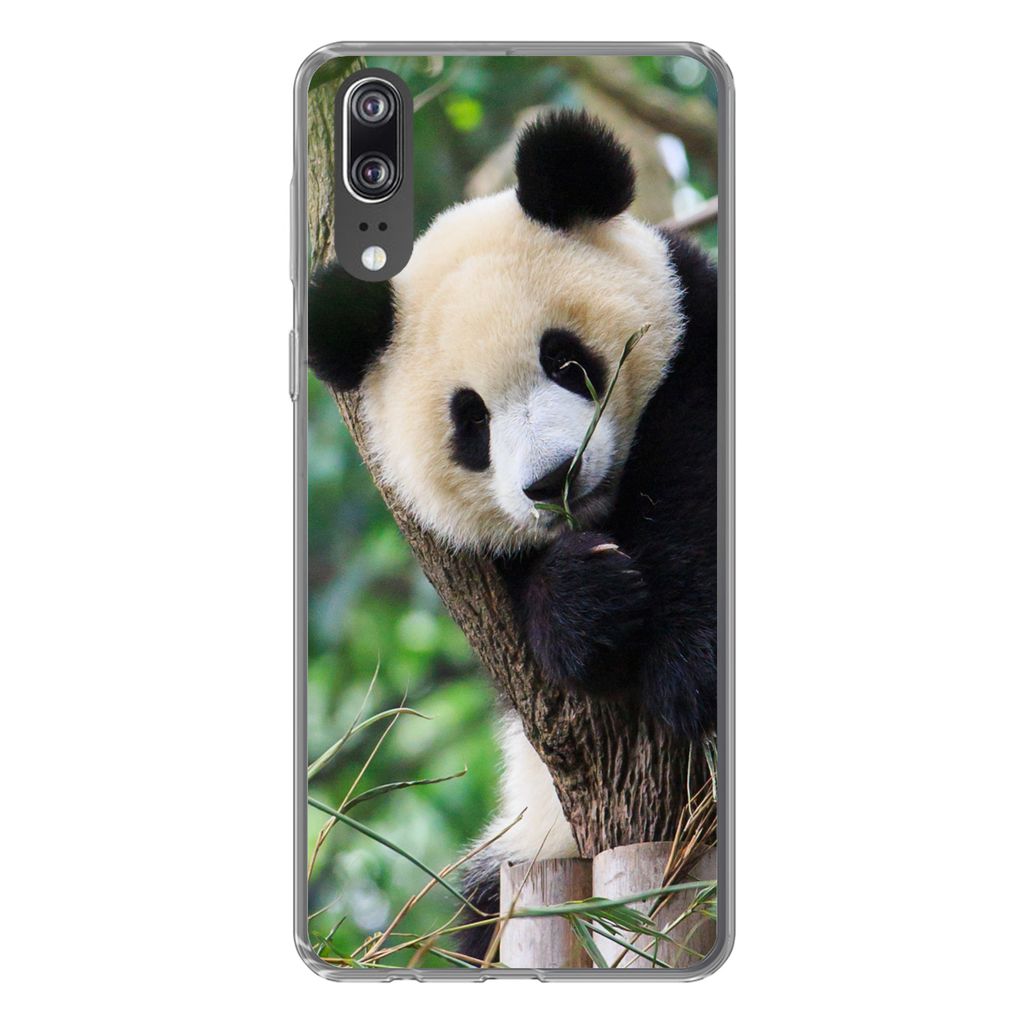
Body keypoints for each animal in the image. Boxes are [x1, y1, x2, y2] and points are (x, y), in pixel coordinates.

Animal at [308, 110, 717, 963]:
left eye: (565, 359)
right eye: (472, 422)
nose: (554, 479)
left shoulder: (700, 337)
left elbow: (697, 478)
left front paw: (688, 668)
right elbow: (518, 628)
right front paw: (584, 601)